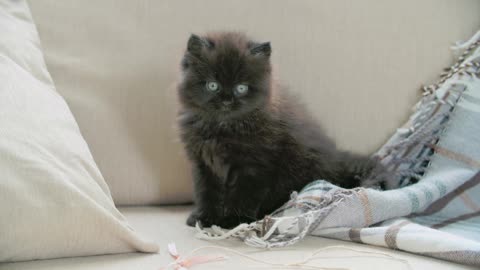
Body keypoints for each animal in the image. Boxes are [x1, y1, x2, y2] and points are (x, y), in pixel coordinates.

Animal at [176, 31, 382, 229]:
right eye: (212, 85)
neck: (223, 127)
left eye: (241, 88)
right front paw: (203, 218)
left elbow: (244, 194)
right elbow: (206, 192)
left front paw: (234, 220)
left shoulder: (254, 165)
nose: (227, 101)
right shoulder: (203, 164)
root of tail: (337, 161)